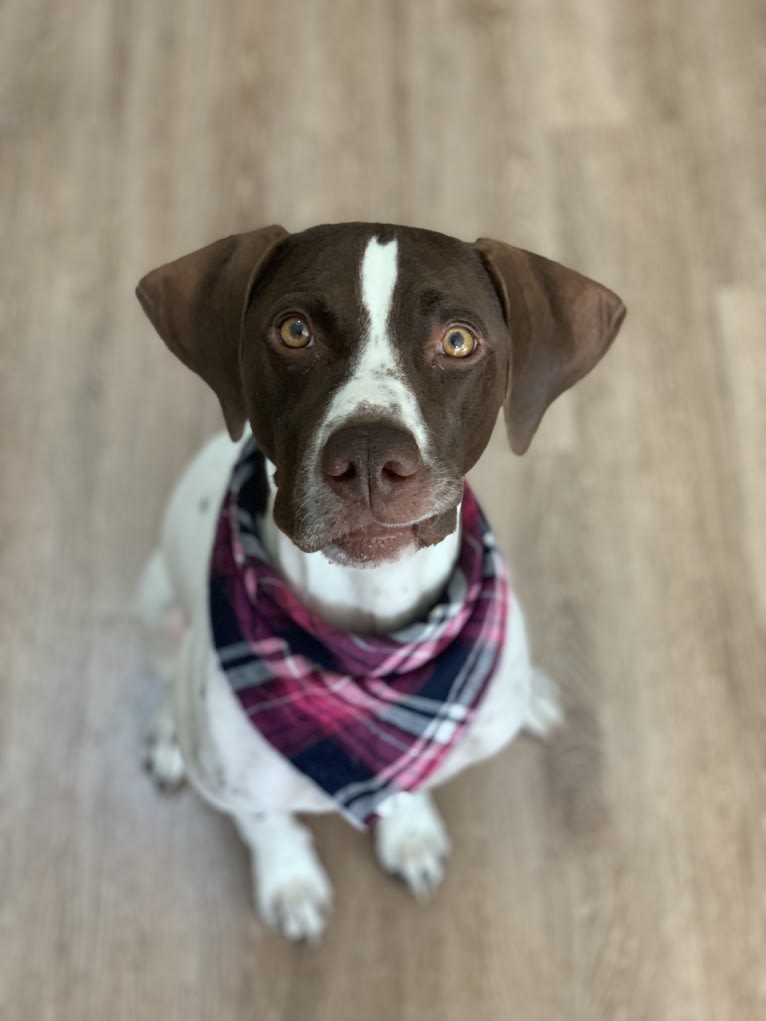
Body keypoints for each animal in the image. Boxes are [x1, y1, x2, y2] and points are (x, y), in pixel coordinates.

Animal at [134, 223, 625, 939]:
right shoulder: (238, 787)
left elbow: (410, 781)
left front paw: (409, 832)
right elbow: (266, 822)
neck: (371, 638)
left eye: (458, 341)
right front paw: (290, 883)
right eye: (294, 331)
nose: (368, 455)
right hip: (156, 602)